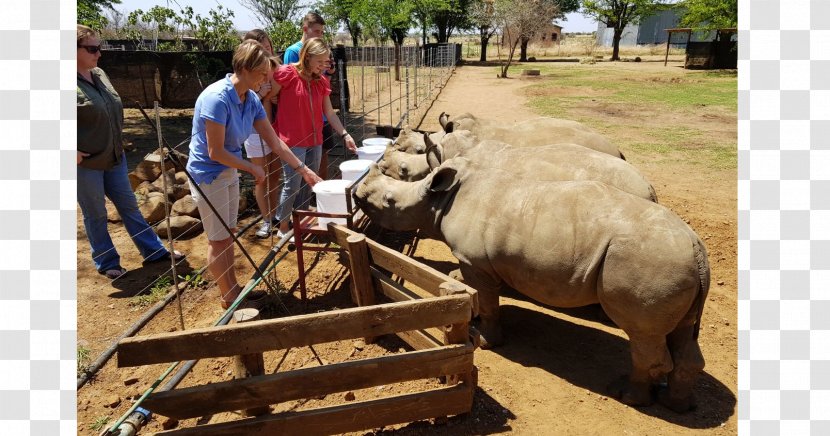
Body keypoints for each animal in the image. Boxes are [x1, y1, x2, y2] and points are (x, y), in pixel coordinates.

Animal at [354, 158, 712, 412]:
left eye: (389, 200)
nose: (358, 193)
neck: (437, 203)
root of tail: (697, 248)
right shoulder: (478, 261)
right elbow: (473, 290)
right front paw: (470, 313)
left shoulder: (476, 262)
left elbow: (488, 300)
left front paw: (484, 340)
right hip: (672, 264)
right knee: (681, 332)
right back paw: (679, 406)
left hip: (650, 262)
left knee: (643, 334)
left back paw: (627, 396)